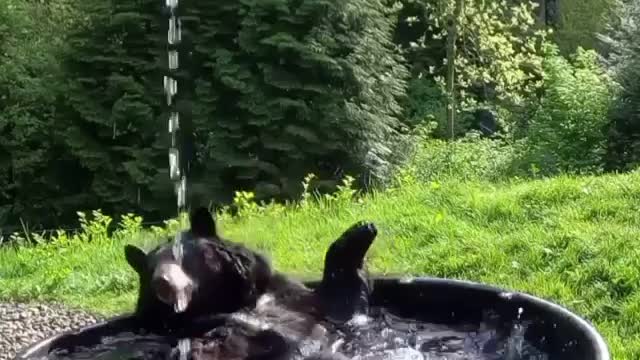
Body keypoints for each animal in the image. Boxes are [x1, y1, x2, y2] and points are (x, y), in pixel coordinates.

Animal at [122, 205, 378, 360]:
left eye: (180, 255)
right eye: (150, 269)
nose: (162, 281)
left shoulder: (292, 298)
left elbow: (339, 303)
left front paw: (359, 231)